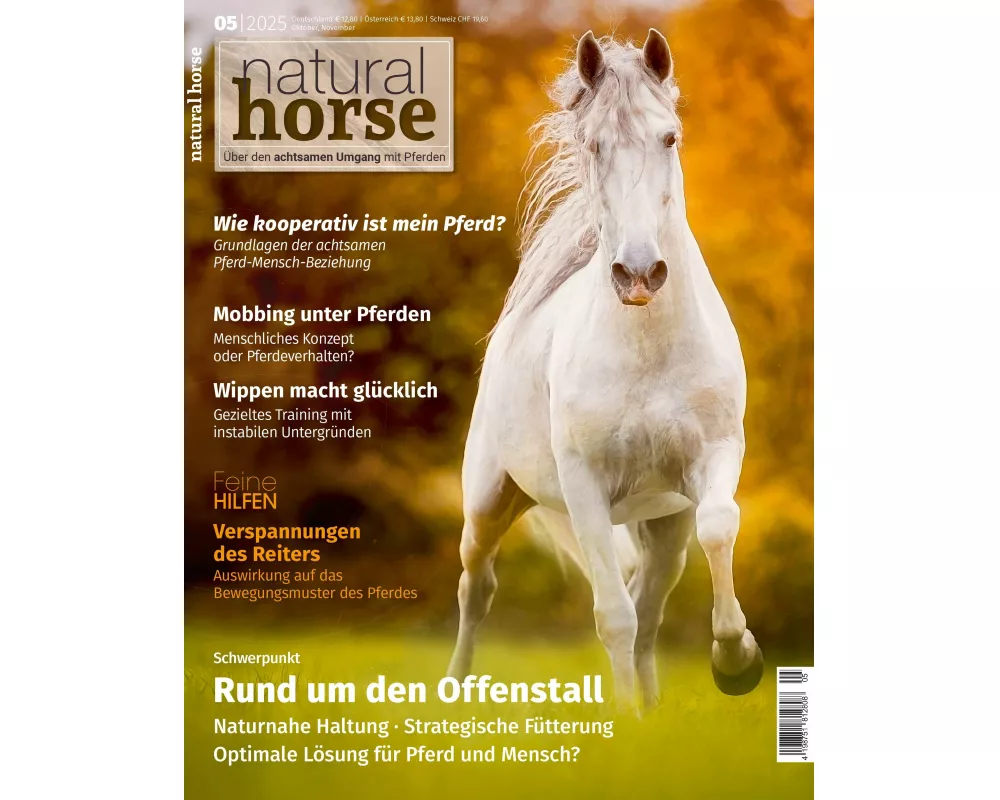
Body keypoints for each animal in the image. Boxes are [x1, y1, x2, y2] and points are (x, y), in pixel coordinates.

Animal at [446, 29, 763, 714]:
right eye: (594, 144)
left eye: (669, 137)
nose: (640, 274)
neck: (648, 350)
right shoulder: (586, 488)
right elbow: (611, 616)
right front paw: (620, 723)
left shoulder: (714, 458)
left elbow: (719, 527)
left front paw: (736, 658)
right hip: (488, 501)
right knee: (476, 589)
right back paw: (454, 692)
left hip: (664, 524)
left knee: (650, 608)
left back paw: (653, 709)